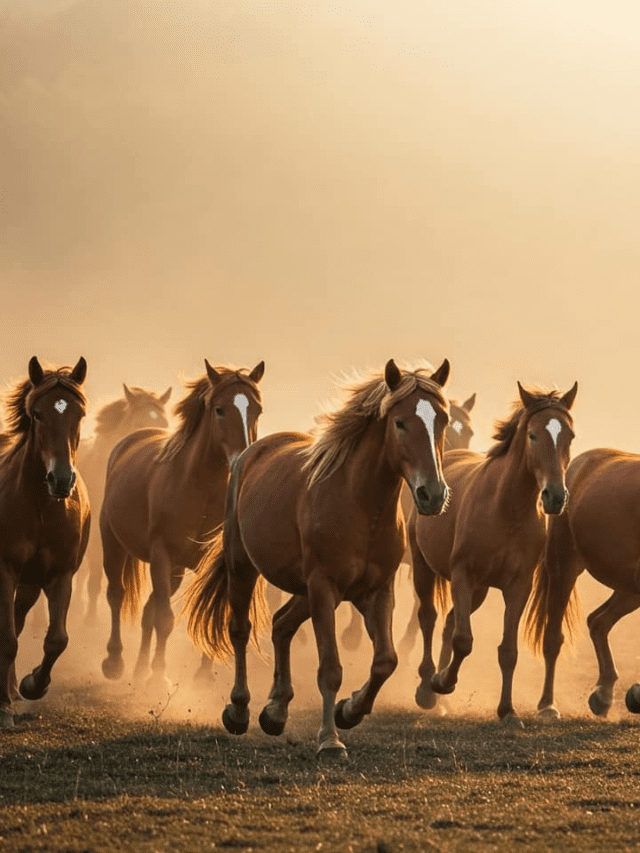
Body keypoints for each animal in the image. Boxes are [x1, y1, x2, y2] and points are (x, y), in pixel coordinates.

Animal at [100, 360, 264, 691]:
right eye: (219, 409)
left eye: (257, 409)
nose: (242, 458)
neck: (198, 487)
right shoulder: (161, 555)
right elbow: (165, 619)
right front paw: (160, 676)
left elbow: (208, 612)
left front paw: (201, 675)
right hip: (114, 544)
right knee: (117, 595)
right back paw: (116, 662)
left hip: (174, 570)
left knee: (148, 609)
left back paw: (140, 669)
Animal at [185, 358, 451, 759]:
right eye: (400, 422)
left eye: (443, 420)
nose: (432, 494)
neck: (360, 504)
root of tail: (250, 454)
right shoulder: (324, 587)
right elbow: (330, 668)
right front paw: (330, 739)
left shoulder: (375, 591)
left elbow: (385, 661)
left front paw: (349, 710)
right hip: (244, 567)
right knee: (241, 629)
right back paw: (240, 710)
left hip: (307, 590)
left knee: (281, 624)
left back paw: (276, 711)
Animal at [408, 382, 577, 725]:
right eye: (533, 435)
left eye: (569, 435)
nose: (555, 496)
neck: (505, 508)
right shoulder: (463, 575)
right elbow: (463, 640)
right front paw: (441, 683)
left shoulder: (517, 587)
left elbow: (507, 650)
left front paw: (507, 711)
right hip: (425, 566)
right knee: (429, 618)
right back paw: (427, 687)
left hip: (481, 590)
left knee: (449, 621)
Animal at [526, 447, 640, 721]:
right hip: (563, 567)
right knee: (553, 638)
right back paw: (547, 706)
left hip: (630, 590)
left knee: (598, 621)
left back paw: (603, 695)